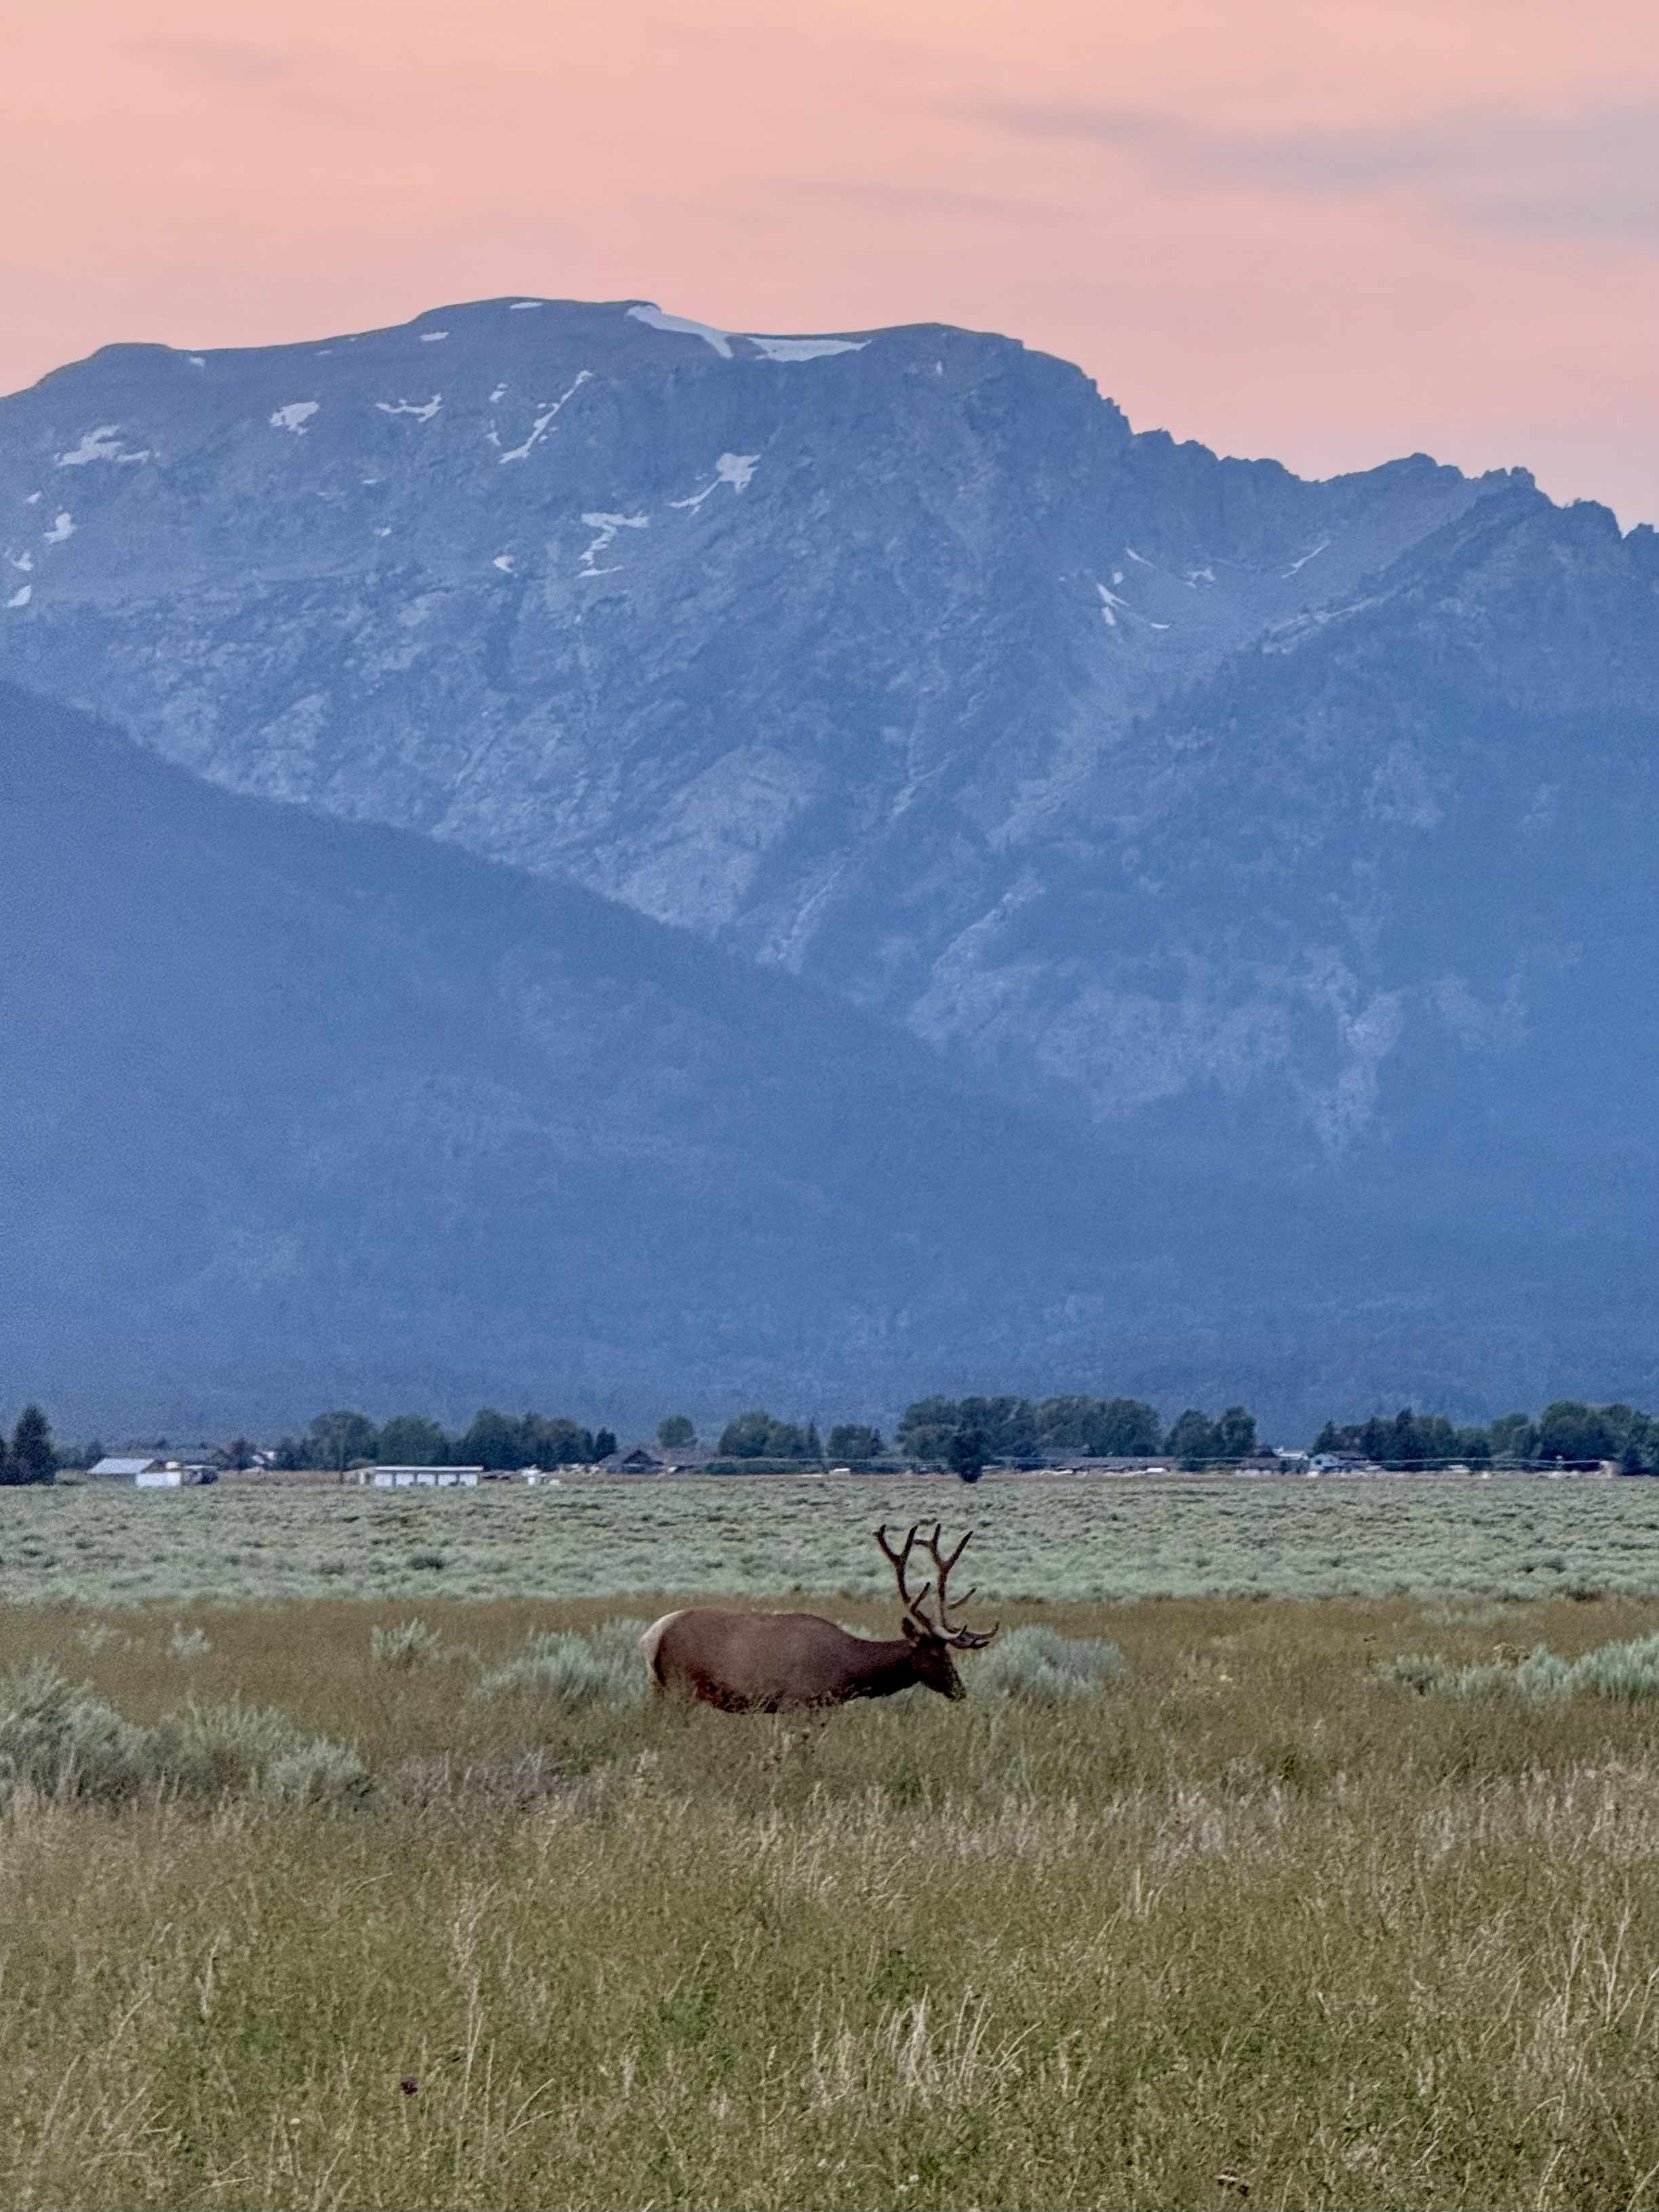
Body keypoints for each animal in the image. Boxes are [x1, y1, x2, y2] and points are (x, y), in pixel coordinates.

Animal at [637, 1521, 998, 1712]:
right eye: (938, 1655)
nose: (960, 1690)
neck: (846, 1671)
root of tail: (651, 1638)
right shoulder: (801, 1701)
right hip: (681, 1688)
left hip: (660, 1688)